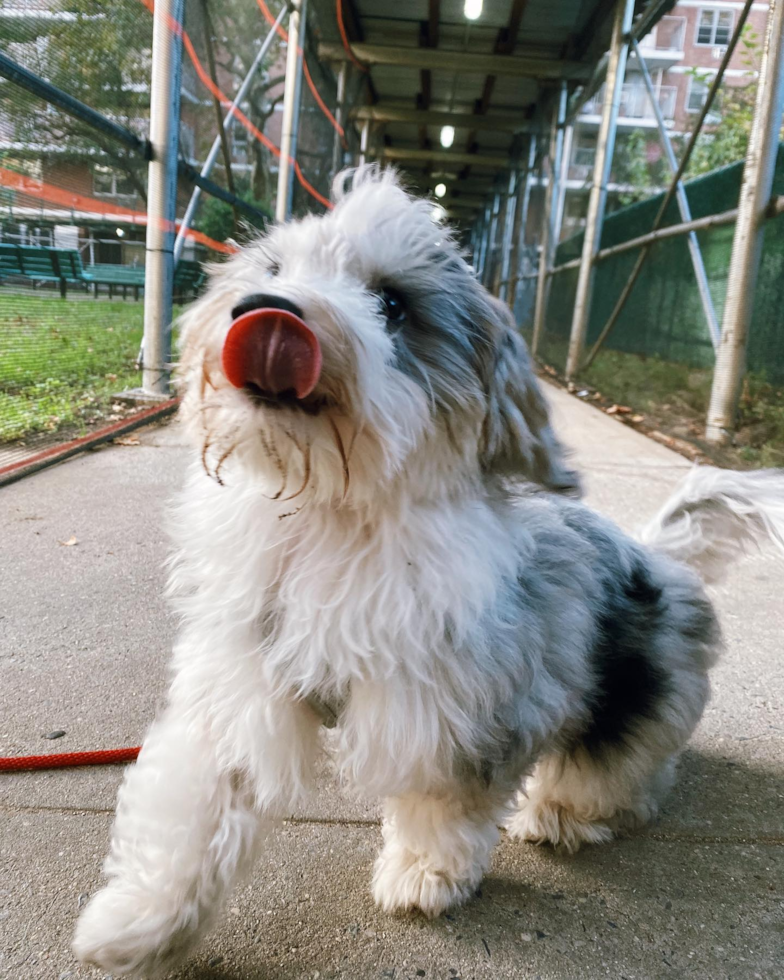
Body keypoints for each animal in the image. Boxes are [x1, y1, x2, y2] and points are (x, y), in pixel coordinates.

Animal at [73, 165, 784, 976]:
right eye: (274, 269)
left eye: (392, 304)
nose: (262, 309)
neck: (332, 516)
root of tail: (658, 557)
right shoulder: (243, 686)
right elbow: (193, 809)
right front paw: (140, 920)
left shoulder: (455, 713)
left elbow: (441, 805)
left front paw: (423, 875)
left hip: (633, 693)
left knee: (619, 771)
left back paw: (560, 812)